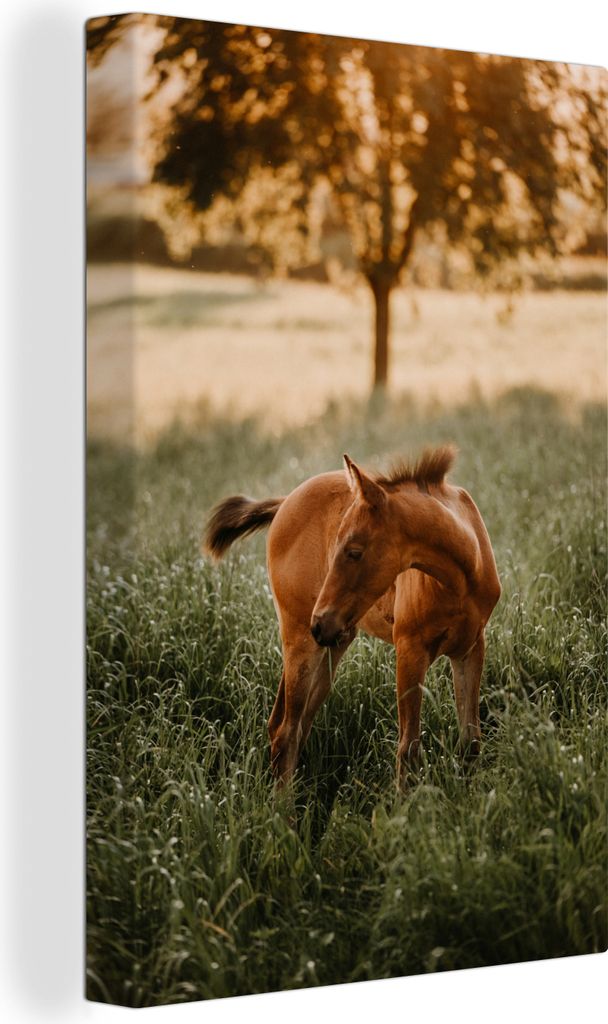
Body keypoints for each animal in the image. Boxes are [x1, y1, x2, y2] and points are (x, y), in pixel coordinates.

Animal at [204, 445, 501, 787]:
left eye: (354, 552)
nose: (319, 622)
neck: (461, 577)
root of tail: (285, 501)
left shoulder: (470, 649)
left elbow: (471, 741)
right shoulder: (410, 652)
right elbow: (408, 750)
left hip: (333, 645)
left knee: (292, 724)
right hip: (302, 640)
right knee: (286, 731)